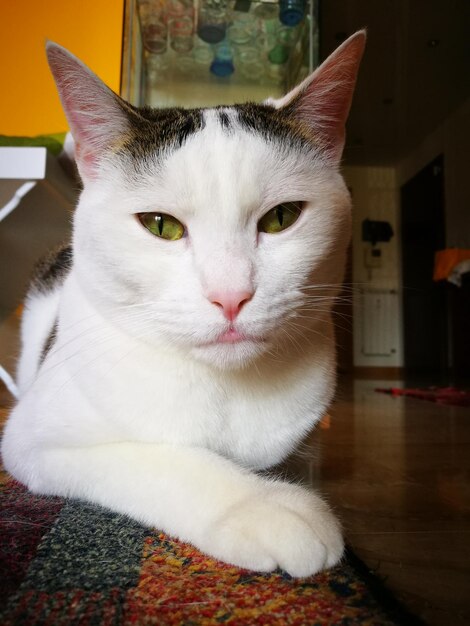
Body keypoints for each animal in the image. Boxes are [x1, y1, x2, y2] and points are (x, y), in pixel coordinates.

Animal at [1, 30, 366, 576]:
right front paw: (264, 504)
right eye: (160, 225)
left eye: (281, 217)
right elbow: (161, 459)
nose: (230, 296)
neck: (228, 389)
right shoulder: (33, 438)